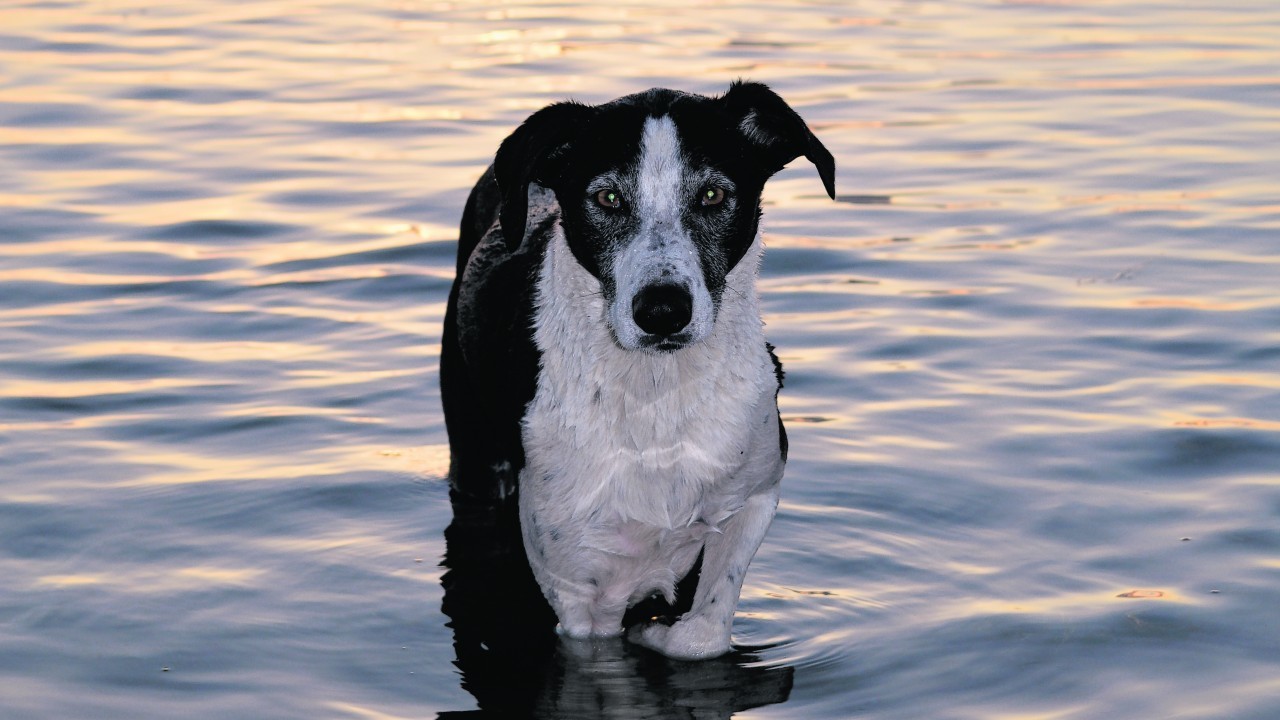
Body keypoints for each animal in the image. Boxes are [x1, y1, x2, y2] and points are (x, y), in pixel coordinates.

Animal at [442, 81, 839, 661]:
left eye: (713, 195)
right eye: (607, 198)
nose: (663, 311)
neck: (657, 393)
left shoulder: (757, 493)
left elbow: (704, 630)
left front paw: (660, 633)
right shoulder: (576, 589)